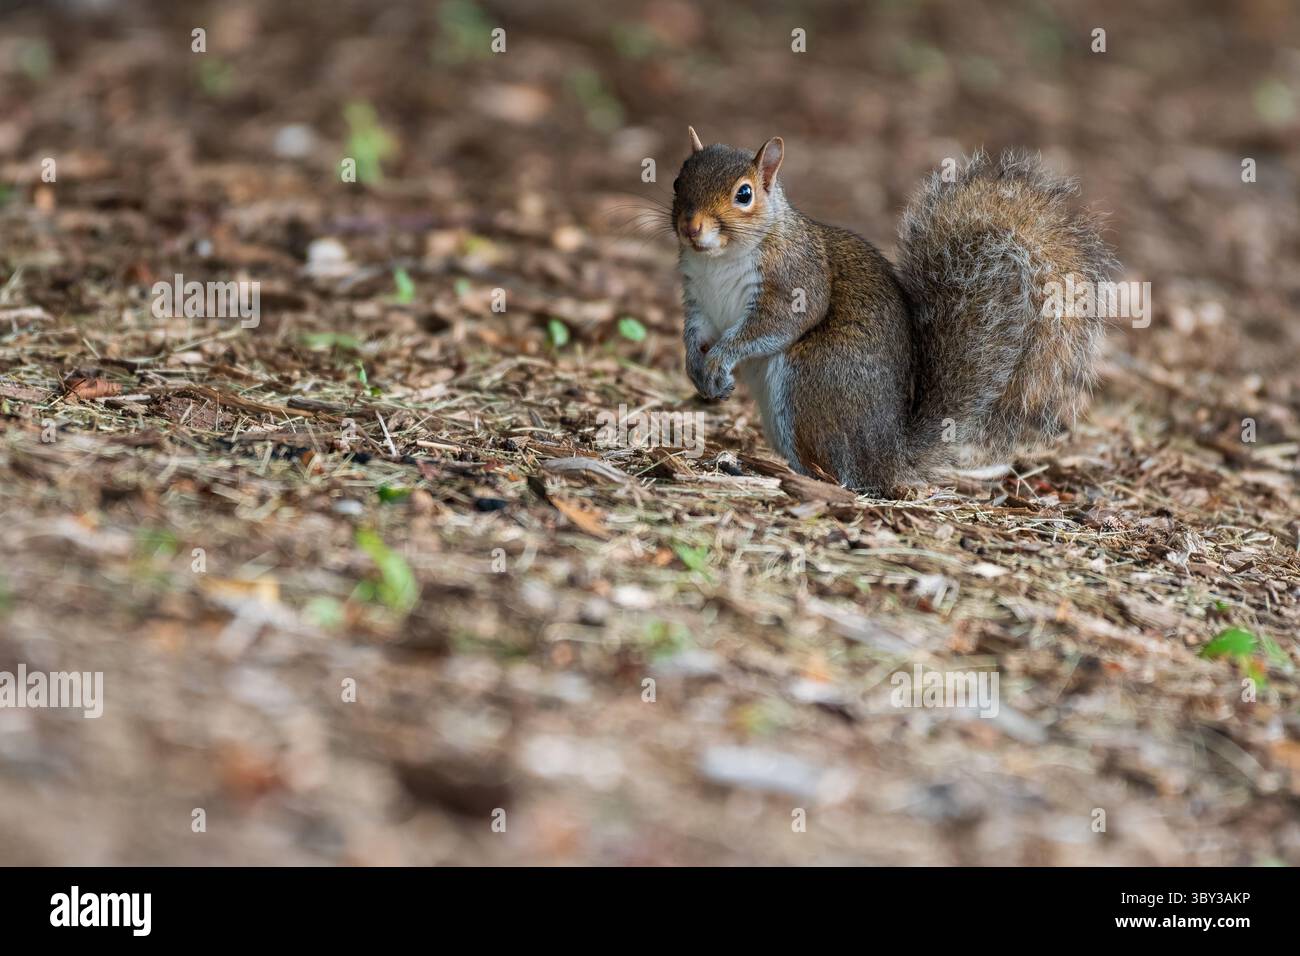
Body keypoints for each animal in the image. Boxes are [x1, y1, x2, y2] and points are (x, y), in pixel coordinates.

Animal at [671, 126, 1117, 493]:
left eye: (744, 194)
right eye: (677, 180)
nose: (691, 227)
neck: (719, 259)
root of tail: (891, 454)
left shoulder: (795, 280)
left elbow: (776, 324)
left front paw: (721, 360)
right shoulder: (699, 300)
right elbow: (696, 333)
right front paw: (697, 366)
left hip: (811, 381)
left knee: (845, 475)